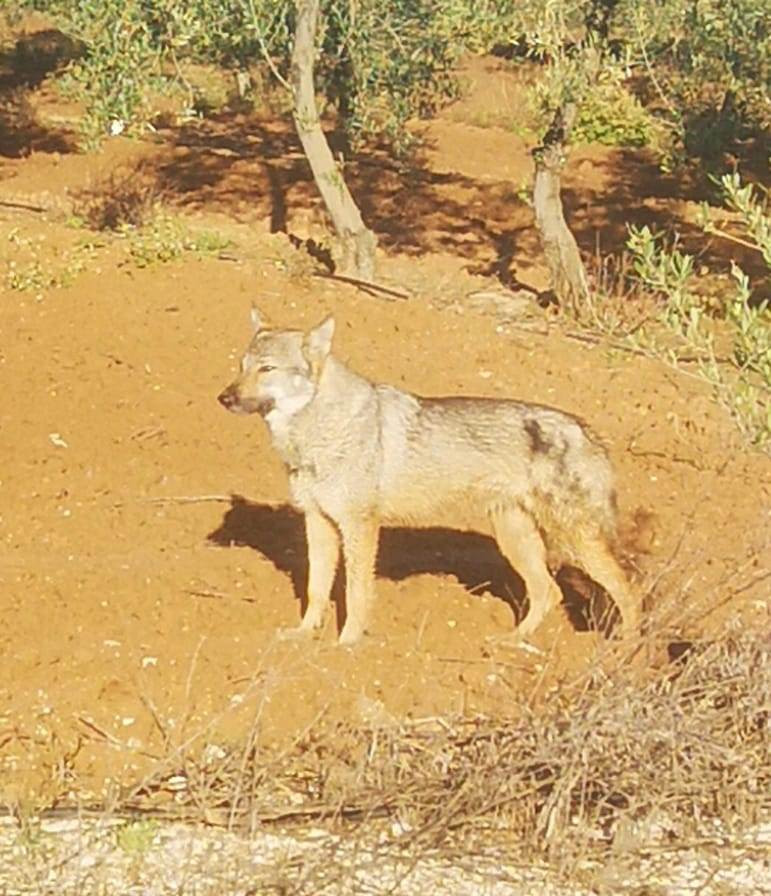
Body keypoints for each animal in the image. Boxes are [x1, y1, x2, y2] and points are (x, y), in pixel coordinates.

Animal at [217, 308, 640, 644]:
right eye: (240, 367)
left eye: (266, 369)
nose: (223, 398)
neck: (316, 434)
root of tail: (588, 430)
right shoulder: (317, 521)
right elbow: (316, 589)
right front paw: (303, 637)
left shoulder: (360, 526)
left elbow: (355, 593)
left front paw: (347, 645)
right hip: (516, 539)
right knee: (549, 593)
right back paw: (508, 643)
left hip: (576, 542)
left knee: (629, 592)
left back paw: (625, 654)